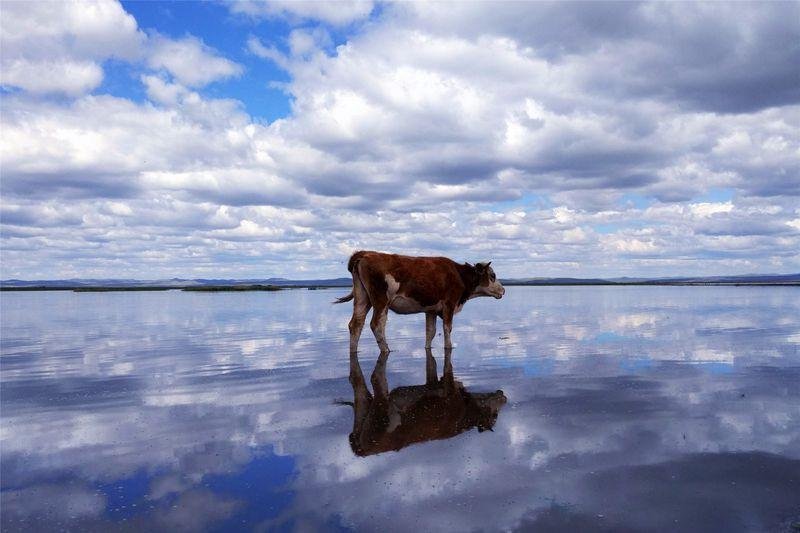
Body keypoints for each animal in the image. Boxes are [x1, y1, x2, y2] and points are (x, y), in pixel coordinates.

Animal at [334, 250, 504, 352]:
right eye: (493, 275)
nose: (503, 290)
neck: (459, 275)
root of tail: (365, 253)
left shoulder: (431, 309)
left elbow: (430, 332)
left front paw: (428, 348)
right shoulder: (449, 304)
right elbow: (447, 329)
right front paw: (449, 347)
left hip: (363, 298)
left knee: (356, 324)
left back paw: (353, 350)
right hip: (381, 300)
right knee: (376, 325)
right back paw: (386, 350)